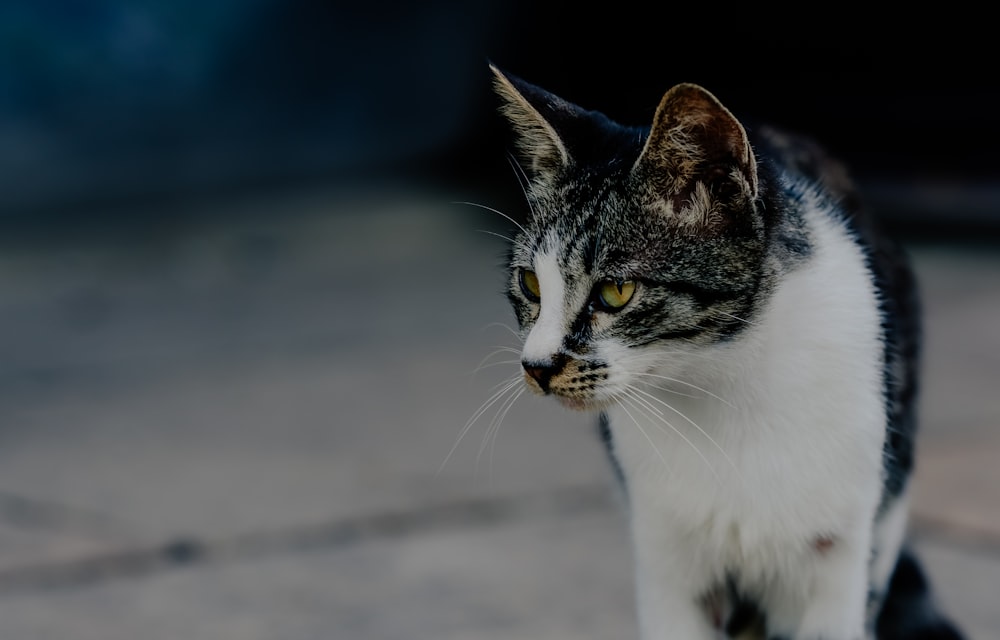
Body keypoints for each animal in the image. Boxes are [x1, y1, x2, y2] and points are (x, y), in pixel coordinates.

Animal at [488, 63, 964, 640]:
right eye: (531, 284)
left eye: (616, 292)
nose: (536, 367)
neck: (723, 385)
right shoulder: (664, 552)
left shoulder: (840, 554)